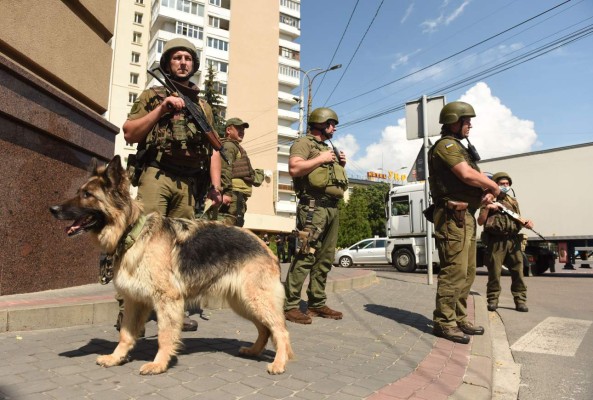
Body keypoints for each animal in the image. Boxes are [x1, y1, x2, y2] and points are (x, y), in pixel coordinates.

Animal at [49, 155, 292, 376]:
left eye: (87, 195)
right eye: (80, 192)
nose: (53, 209)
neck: (132, 234)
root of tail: (267, 247)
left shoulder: (167, 300)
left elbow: (165, 336)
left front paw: (159, 364)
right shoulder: (135, 300)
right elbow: (125, 334)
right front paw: (116, 358)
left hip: (255, 300)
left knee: (280, 330)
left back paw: (279, 363)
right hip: (243, 302)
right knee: (265, 329)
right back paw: (254, 351)